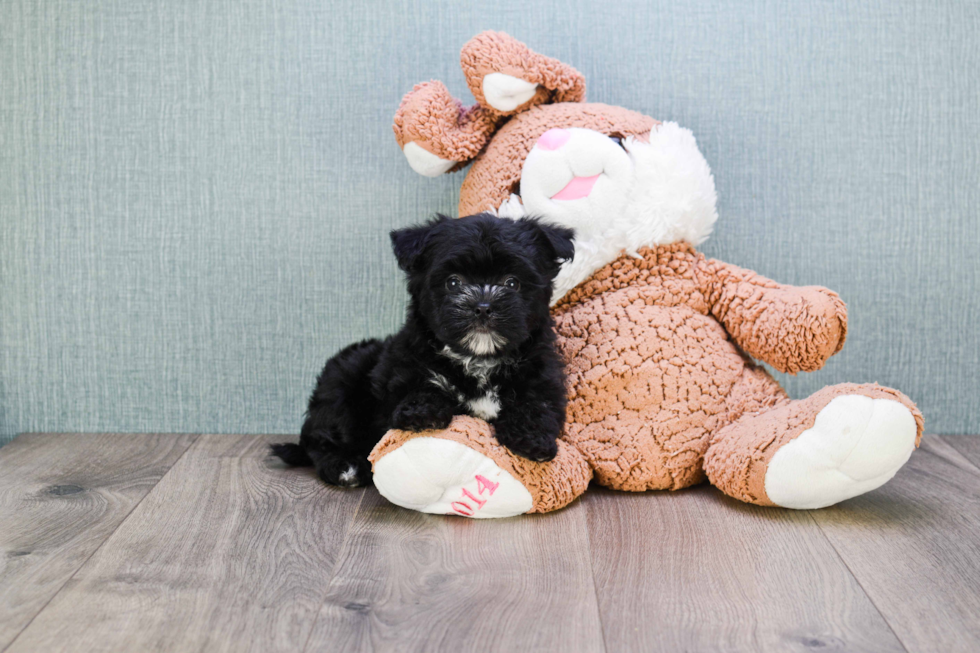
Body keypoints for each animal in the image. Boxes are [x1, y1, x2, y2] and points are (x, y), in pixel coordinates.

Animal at [268, 211, 576, 486]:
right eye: (453, 282)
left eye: (512, 282)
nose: (483, 307)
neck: (478, 359)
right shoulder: (404, 369)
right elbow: (421, 385)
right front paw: (422, 413)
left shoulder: (541, 377)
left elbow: (536, 405)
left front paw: (532, 440)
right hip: (342, 376)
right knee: (321, 439)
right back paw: (345, 466)